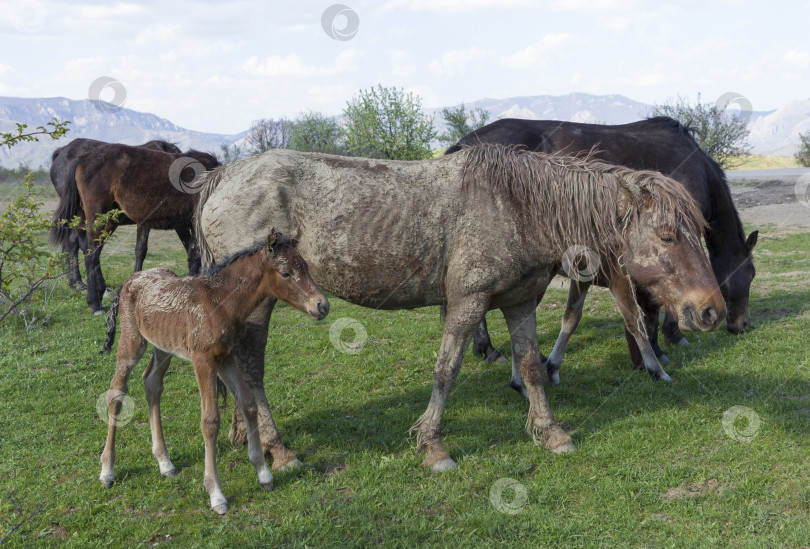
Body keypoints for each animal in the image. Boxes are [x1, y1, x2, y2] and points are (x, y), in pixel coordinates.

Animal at [99, 229, 326, 512]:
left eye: (305, 266)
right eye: (285, 273)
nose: (322, 305)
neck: (221, 301)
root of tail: (129, 280)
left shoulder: (226, 356)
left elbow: (248, 404)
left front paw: (264, 474)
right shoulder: (203, 359)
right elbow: (210, 420)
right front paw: (216, 493)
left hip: (163, 346)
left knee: (152, 383)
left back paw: (165, 463)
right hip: (132, 342)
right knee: (116, 391)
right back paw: (107, 470)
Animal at [194, 146, 720, 470]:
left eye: (699, 232)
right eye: (667, 236)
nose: (711, 310)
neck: (515, 206)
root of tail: (223, 176)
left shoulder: (519, 303)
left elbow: (531, 366)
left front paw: (550, 432)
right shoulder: (467, 303)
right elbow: (446, 371)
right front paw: (433, 446)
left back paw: (247, 436)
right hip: (260, 304)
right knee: (252, 369)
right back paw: (278, 449)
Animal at [446, 115, 756, 384]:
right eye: (752, 274)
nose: (742, 326)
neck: (698, 167)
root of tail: (462, 143)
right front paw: (671, 338)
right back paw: (492, 351)